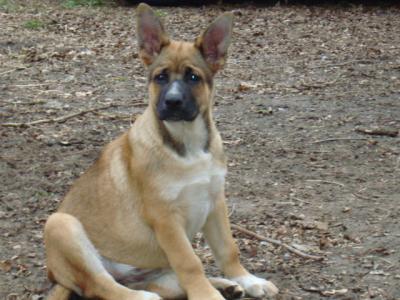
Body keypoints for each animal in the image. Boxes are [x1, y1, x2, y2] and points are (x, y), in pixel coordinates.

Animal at [43, 2, 278, 300]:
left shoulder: (215, 201)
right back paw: (142, 296)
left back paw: (224, 284)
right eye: (160, 77)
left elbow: (228, 249)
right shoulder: (165, 217)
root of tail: (55, 275)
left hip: (154, 270)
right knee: (99, 283)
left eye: (193, 77)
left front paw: (247, 279)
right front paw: (207, 295)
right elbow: (189, 262)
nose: (173, 102)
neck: (187, 145)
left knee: (168, 283)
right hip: (61, 224)